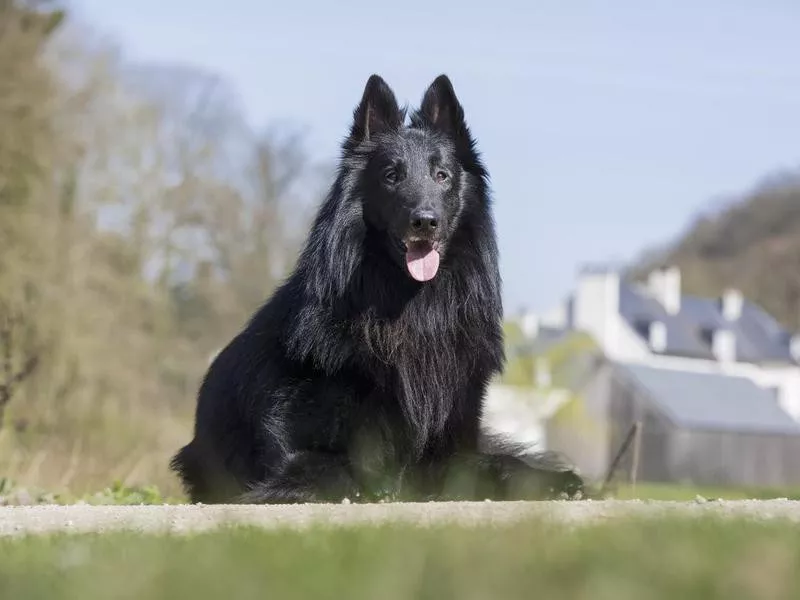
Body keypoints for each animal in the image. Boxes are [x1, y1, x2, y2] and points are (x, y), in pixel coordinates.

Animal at [169, 76, 584, 506]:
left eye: (442, 175)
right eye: (391, 176)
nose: (425, 222)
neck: (411, 309)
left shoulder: (450, 449)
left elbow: (494, 466)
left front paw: (553, 480)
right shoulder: (301, 455)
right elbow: (337, 472)